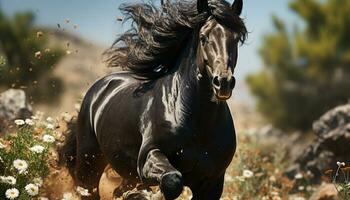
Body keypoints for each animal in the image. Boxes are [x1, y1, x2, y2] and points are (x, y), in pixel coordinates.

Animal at [59, 0, 246, 199]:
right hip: (89, 164)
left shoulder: (212, 183)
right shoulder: (148, 156)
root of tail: (97, 90)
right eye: (203, 37)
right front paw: (151, 195)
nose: (223, 82)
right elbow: (172, 180)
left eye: (236, 39)